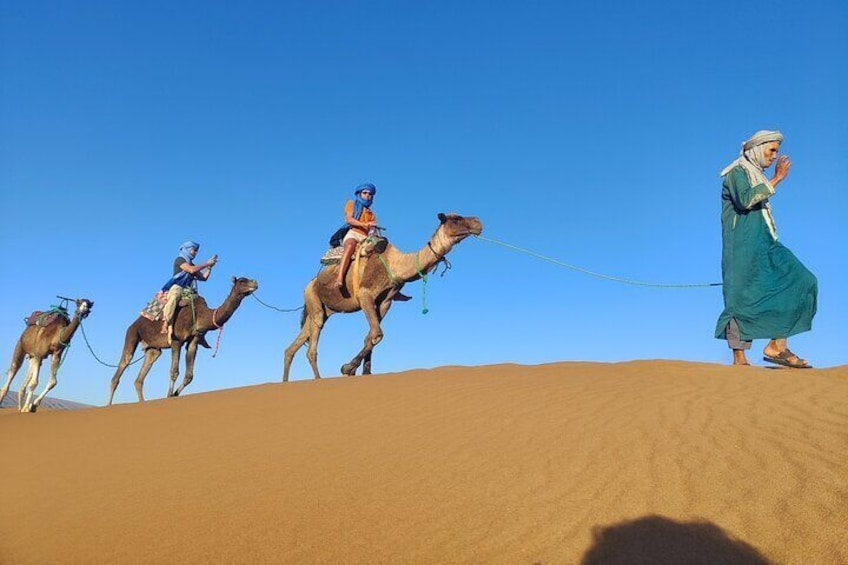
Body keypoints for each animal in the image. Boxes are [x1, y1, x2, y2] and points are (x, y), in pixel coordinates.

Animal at [108, 276, 258, 404]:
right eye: (242, 281)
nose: (255, 283)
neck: (200, 315)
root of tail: (135, 322)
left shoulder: (193, 341)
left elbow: (189, 376)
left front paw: (174, 394)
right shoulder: (176, 341)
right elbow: (174, 371)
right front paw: (169, 395)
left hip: (152, 348)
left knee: (140, 377)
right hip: (132, 333)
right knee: (123, 364)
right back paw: (109, 404)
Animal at [284, 214, 484, 382]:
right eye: (456, 219)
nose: (478, 222)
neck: (395, 265)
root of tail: (309, 284)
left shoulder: (385, 302)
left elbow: (370, 336)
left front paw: (364, 372)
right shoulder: (365, 295)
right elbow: (377, 333)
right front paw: (347, 368)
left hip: (320, 309)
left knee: (294, 346)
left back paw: (286, 382)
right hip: (314, 299)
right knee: (311, 348)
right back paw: (318, 380)